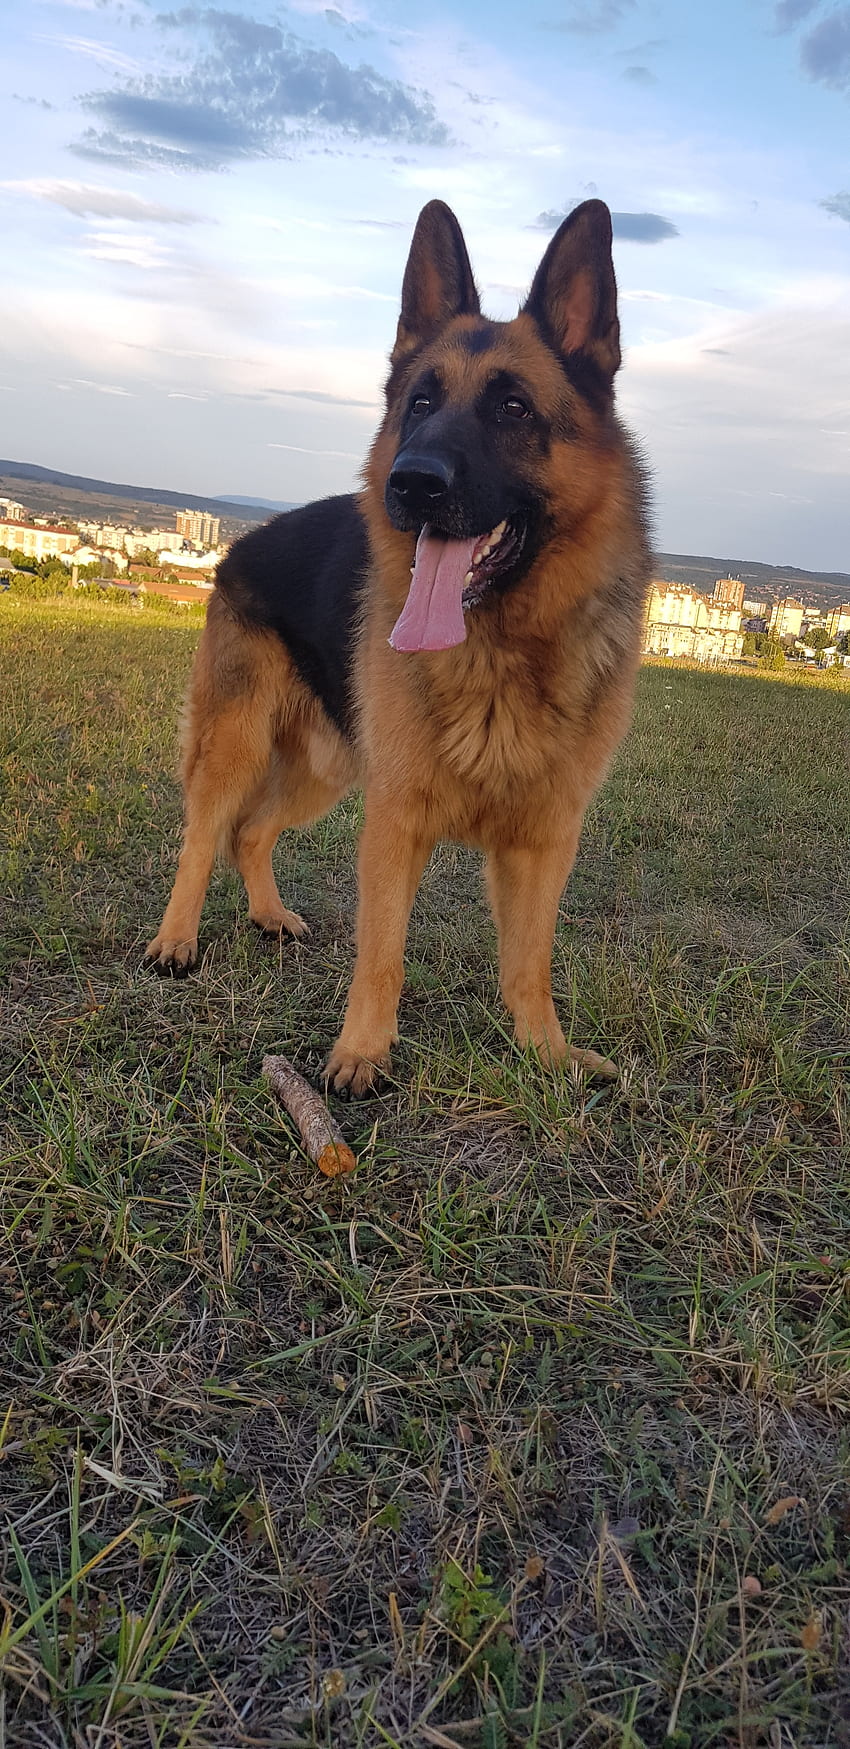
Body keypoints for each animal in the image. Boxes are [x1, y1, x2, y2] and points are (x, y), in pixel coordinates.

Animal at [146, 195, 650, 1091]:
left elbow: (530, 962)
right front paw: (360, 1054)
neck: (500, 649)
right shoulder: (394, 823)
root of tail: (237, 543)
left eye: (513, 408)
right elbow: (381, 952)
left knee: (250, 832)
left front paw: (546, 1052)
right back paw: (176, 939)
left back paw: (268, 914)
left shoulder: (544, 839)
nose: (409, 482)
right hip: (241, 743)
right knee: (205, 834)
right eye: (419, 401)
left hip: (326, 765)